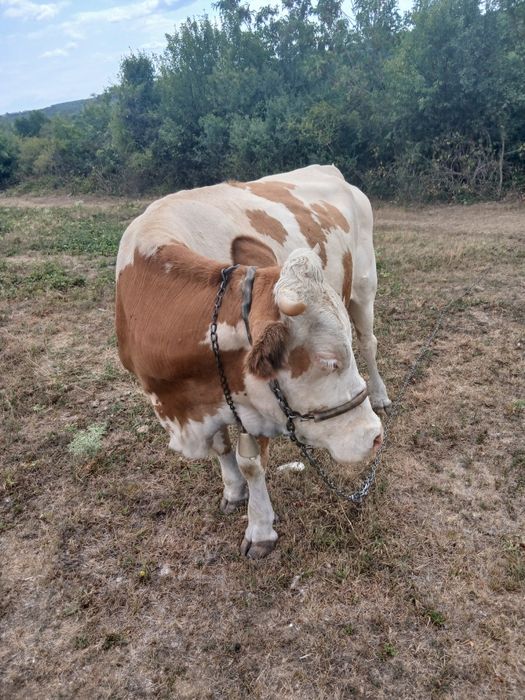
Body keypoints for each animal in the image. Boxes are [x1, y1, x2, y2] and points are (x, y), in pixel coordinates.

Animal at [115, 164, 391, 558]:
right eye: (328, 361)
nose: (375, 437)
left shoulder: (255, 405)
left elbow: (251, 464)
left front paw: (260, 528)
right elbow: (221, 446)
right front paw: (232, 492)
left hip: (364, 287)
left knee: (370, 342)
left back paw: (381, 395)